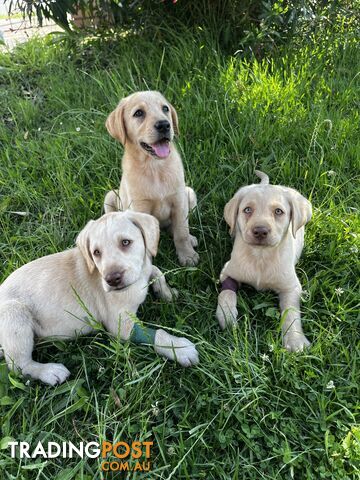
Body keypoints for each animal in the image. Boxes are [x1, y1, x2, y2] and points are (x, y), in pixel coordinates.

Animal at [0, 212, 200, 384]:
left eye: (125, 242)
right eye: (96, 252)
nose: (112, 279)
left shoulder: (144, 270)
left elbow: (156, 270)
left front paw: (167, 292)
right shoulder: (120, 325)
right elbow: (155, 333)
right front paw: (178, 348)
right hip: (14, 313)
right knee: (18, 366)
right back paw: (50, 372)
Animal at [104, 92, 200, 268]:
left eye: (165, 109)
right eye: (138, 113)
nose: (164, 125)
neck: (155, 167)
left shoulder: (179, 200)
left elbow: (181, 232)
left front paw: (187, 255)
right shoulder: (139, 208)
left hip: (189, 193)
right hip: (110, 197)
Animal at [217, 171, 312, 350]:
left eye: (278, 211)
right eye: (247, 210)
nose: (260, 231)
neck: (260, 256)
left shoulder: (291, 287)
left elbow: (291, 312)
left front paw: (295, 340)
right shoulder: (227, 271)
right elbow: (226, 293)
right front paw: (226, 315)